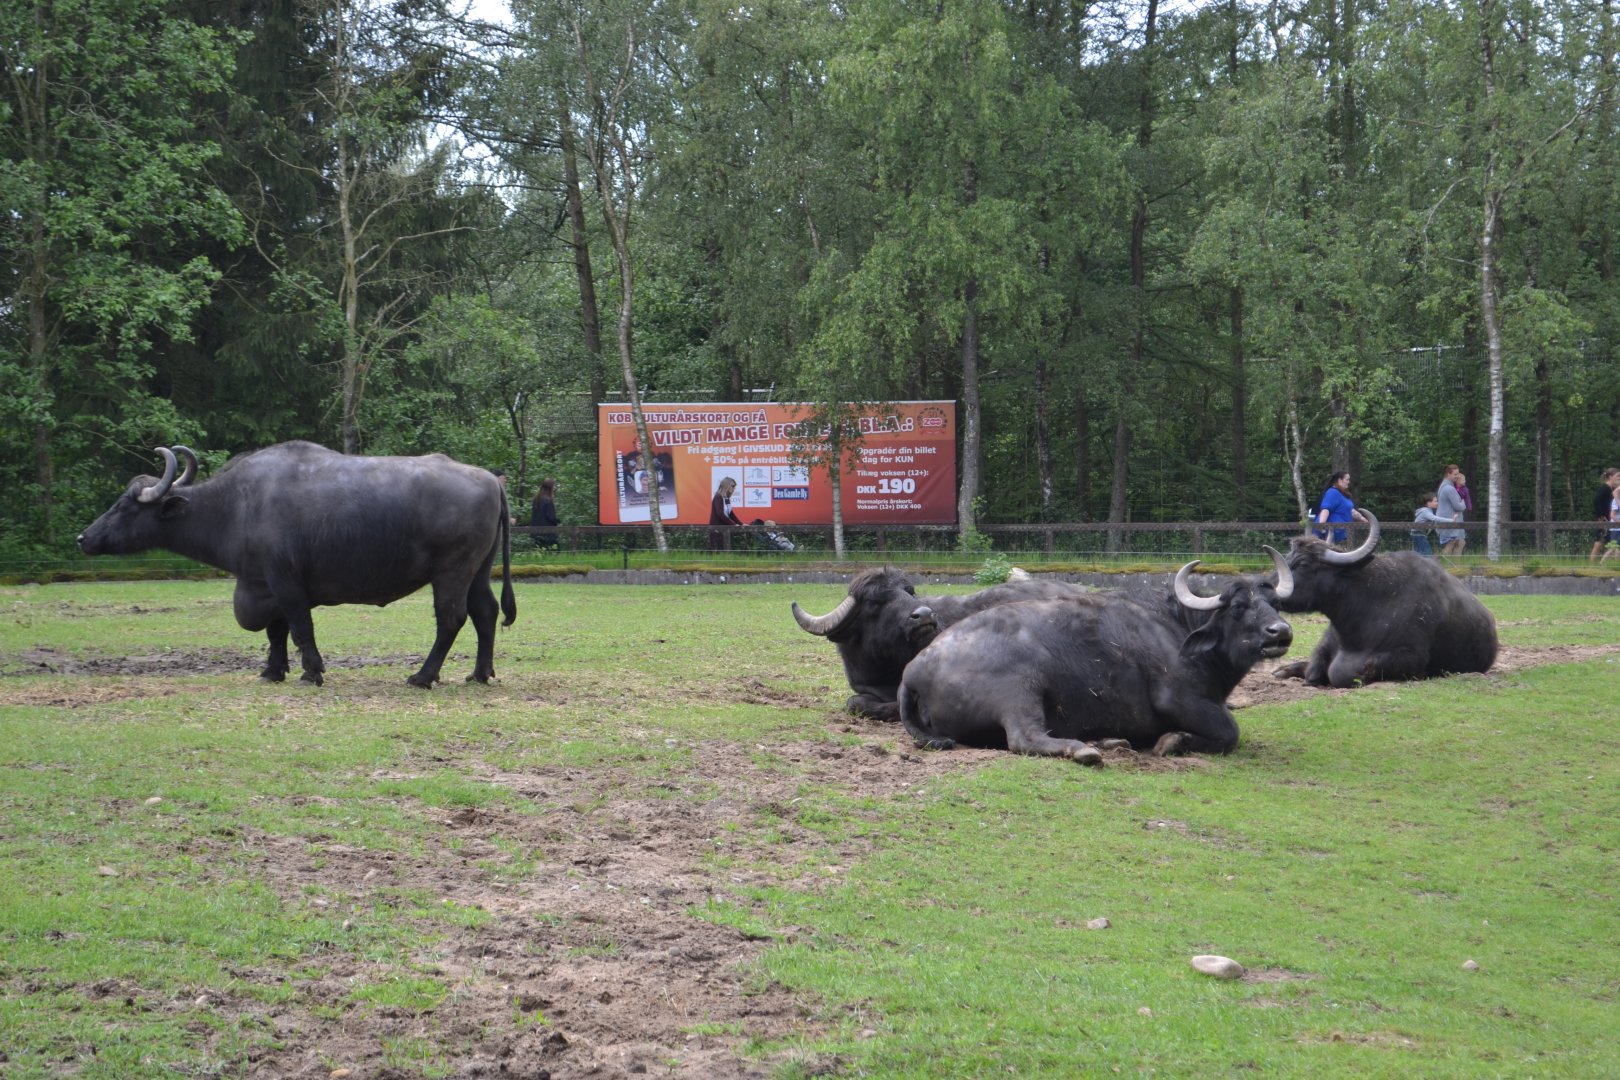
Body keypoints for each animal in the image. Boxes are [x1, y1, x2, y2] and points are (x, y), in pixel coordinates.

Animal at [77, 442, 516, 687]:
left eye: (124, 506)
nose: (83, 538)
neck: (236, 506)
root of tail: (490, 480)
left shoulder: (285, 581)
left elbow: (300, 627)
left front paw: (311, 671)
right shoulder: (263, 584)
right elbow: (276, 632)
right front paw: (272, 671)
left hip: (452, 571)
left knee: (451, 619)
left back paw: (423, 676)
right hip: (479, 570)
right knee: (485, 612)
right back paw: (480, 673)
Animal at [896, 550, 1295, 762]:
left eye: (1273, 604)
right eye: (1239, 608)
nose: (1281, 632)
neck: (1178, 627)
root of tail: (914, 670)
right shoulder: (1179, 699)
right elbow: (1230, 731)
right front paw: (1172, 742)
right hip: (1019, 690)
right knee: (1025, 737)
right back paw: (1084, 750)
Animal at [1271, 511, 1497, 687]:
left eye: (1302, 564)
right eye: (1288, 556)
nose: (1269, 587)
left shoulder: (1410, 657)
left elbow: (1352, 672)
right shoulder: (1326, 644)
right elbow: (1314, 665)